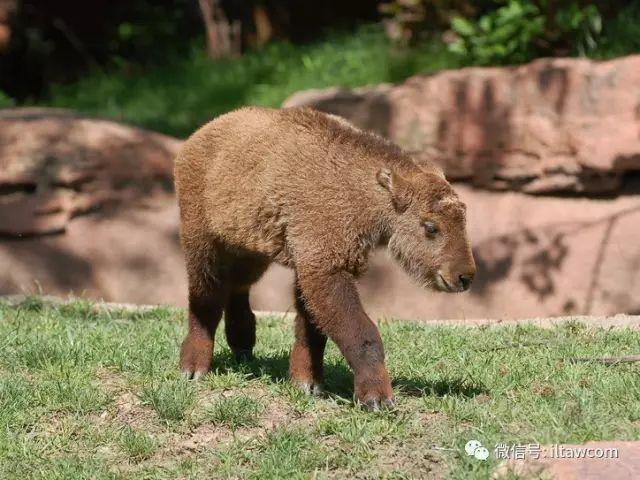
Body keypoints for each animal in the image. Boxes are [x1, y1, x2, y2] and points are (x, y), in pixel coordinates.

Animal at [175, 108, 476, 408]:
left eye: (463, 220)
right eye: (431, 227)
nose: (465, 277)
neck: (356, 187)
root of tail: (195, 138)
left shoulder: (311, 267)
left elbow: (311, 330)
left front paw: (307, 383)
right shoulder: (324, 268)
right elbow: (361, 333)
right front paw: (376, 397)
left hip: (249, 250)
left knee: (238, 288)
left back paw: (243, 347)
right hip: (202, 245)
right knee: (206, 299)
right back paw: (193, 367)